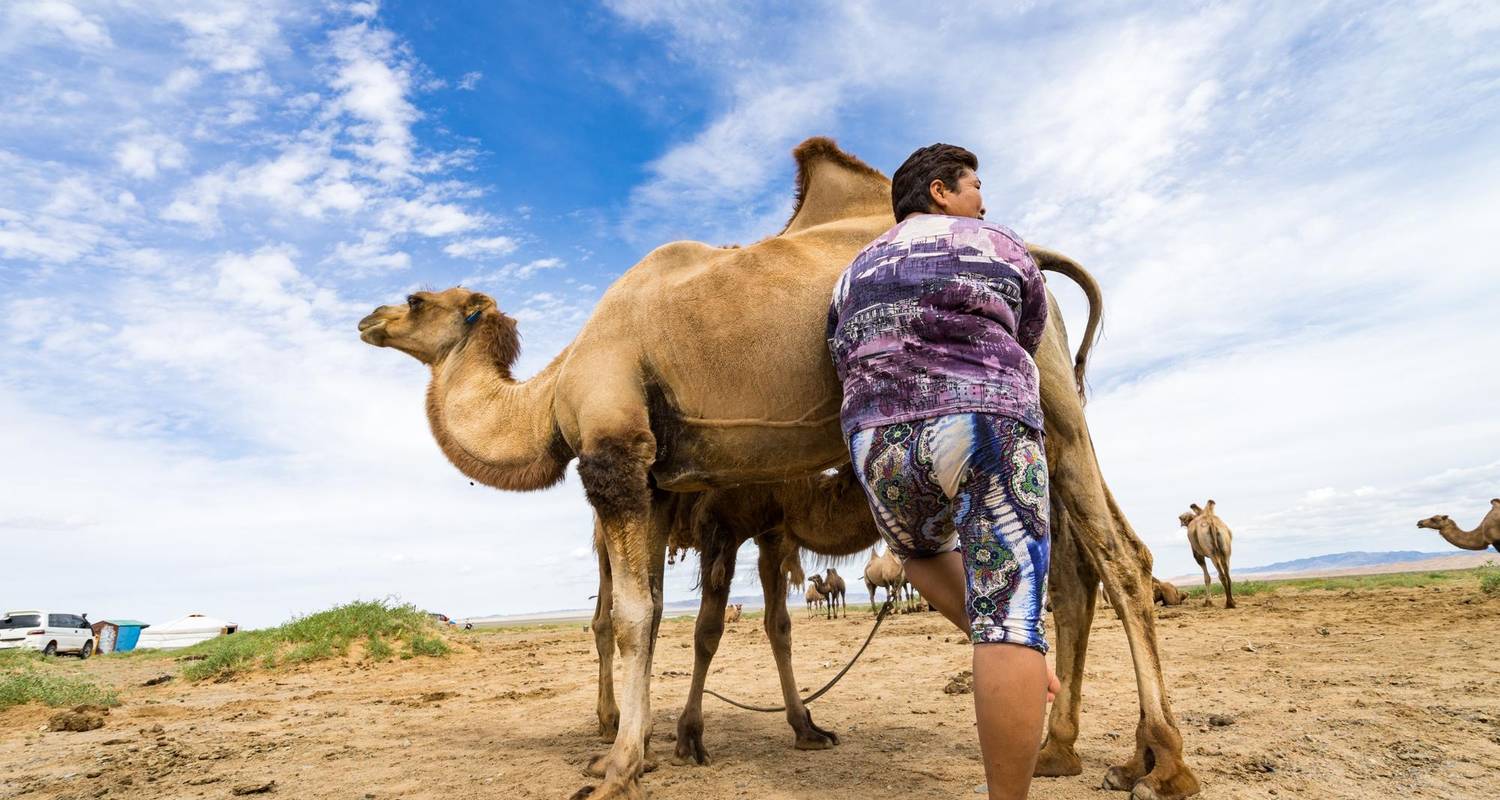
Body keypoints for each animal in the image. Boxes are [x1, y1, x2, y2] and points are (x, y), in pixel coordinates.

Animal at [357, 137, 1200, 798]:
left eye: (415, 297)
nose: (367, 318)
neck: (555, 385)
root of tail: (1032, 247)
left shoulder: (616, 454)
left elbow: (630, 618)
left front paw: (620, 767)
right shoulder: (659, 483)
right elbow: (653, 616)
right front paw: (647, 750)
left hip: (1045, 391)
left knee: (1119, 559)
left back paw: (1166, 764)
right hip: (1045, 407)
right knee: (1079, 567)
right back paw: (1078, 753)